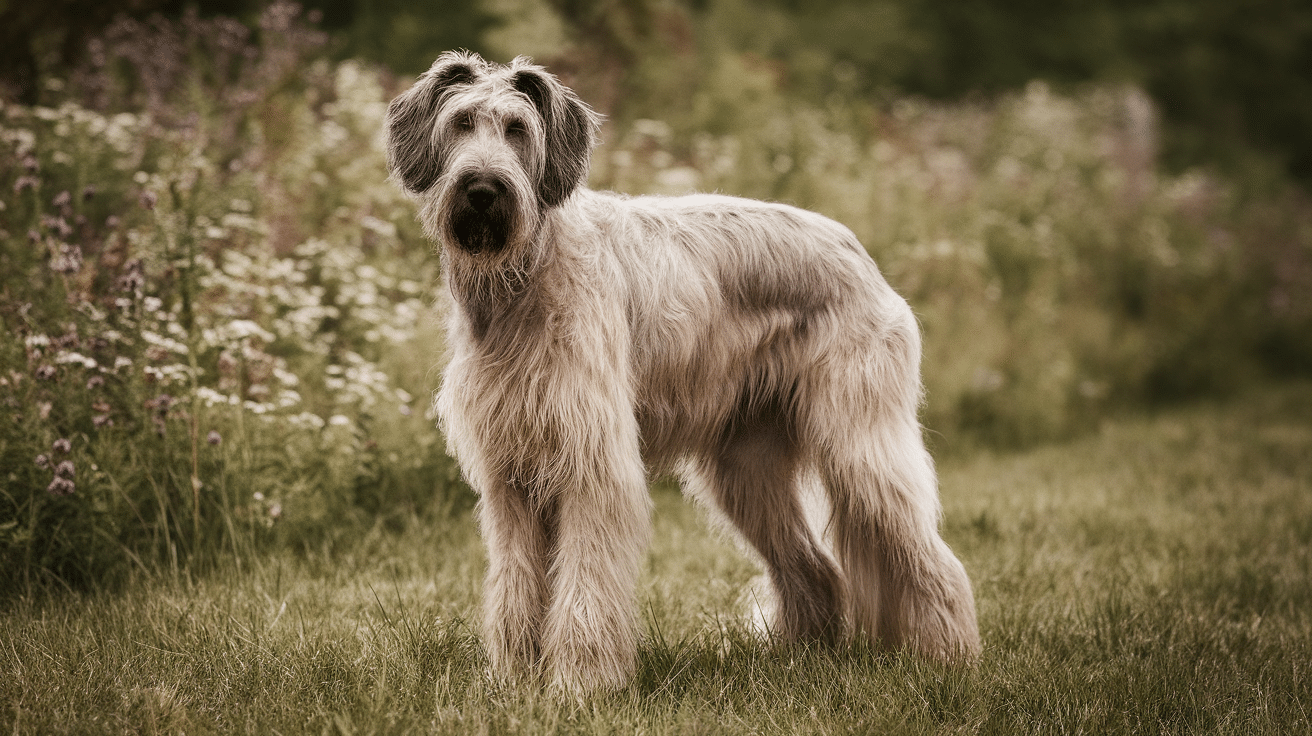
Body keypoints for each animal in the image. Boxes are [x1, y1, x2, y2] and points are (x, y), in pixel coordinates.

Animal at [383, 48, 981, 692]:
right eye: (462, 123)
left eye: (517, 129)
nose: (482, 189)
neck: (524, 277)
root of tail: (858, 251)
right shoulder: (510, 477)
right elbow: (516, 586)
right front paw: (515, 682)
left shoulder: (594, 466)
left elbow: (585, 584)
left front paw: (578, 686)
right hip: (746, 470)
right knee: (815, 566)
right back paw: (800, 657)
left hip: (861, 446)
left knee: (932, 560)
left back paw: (950, 662)